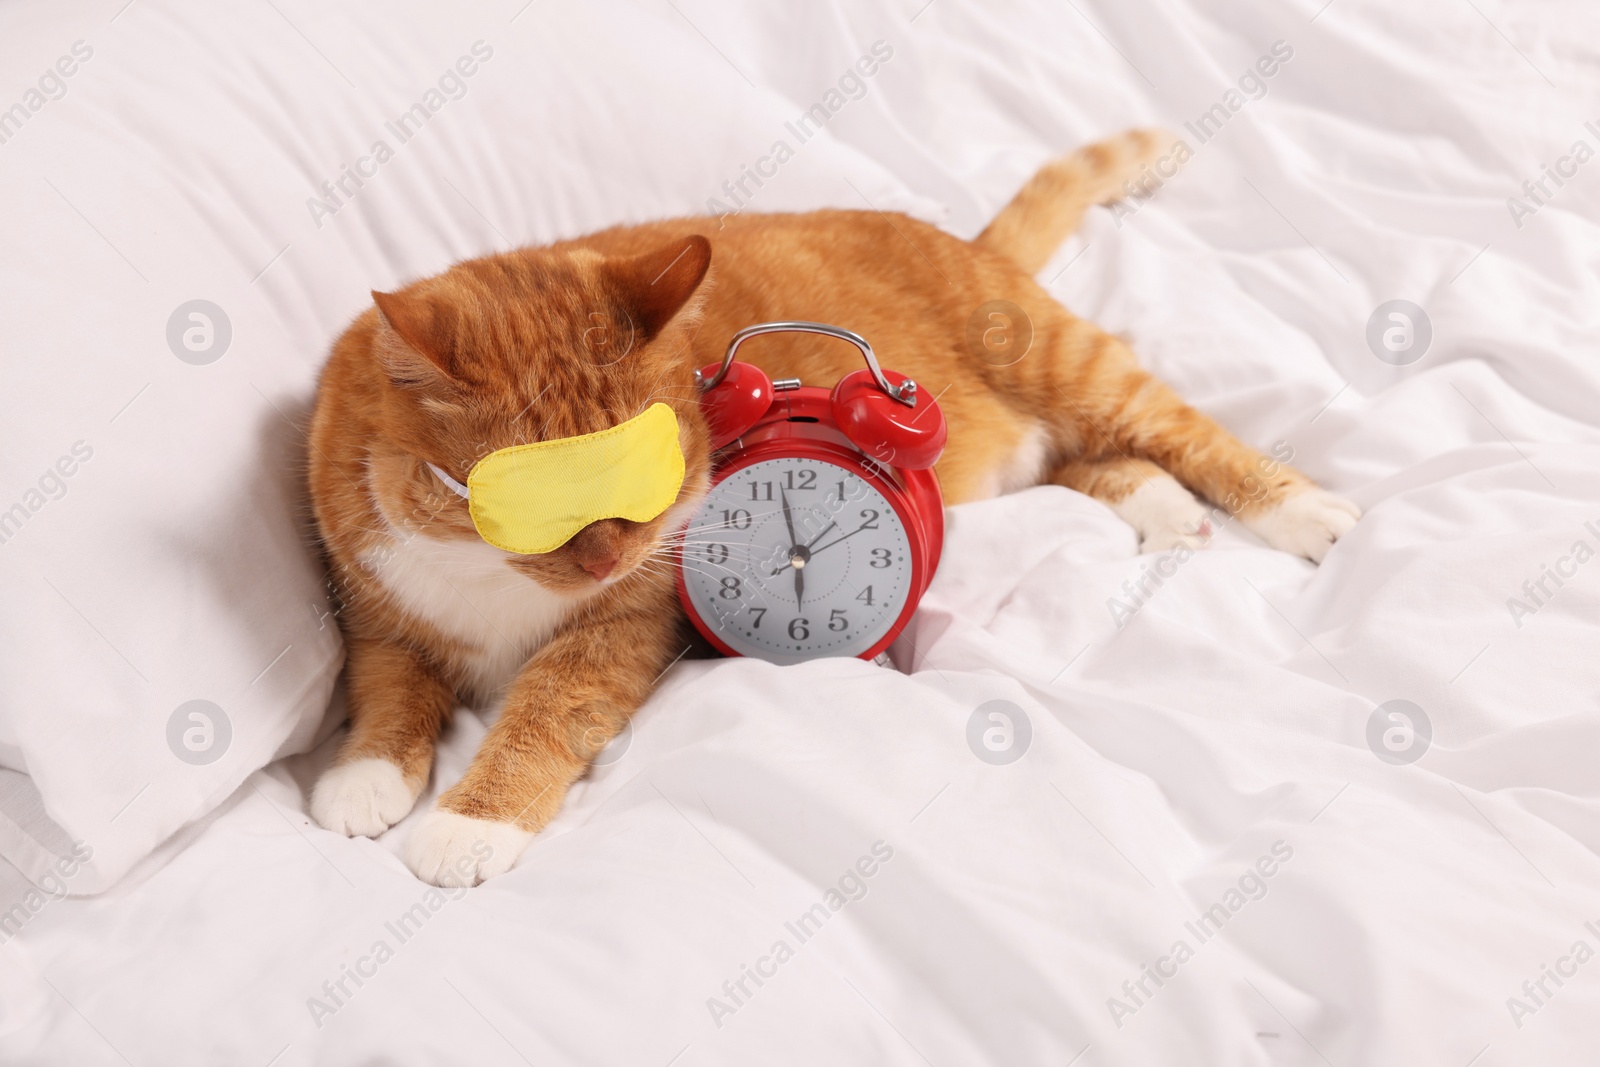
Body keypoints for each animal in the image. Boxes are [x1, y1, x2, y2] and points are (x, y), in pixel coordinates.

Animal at [305, 131, 1356, 883]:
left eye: (651, 478)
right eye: (529, 501)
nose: (606, 557)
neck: (489, 584)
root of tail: (959, 238)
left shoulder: (625, 622)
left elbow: (545, 710)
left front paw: (466, 825)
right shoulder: (373, 602)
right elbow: (389, 685)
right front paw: (363, 774)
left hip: (1073, 369)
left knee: (1182, 432)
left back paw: (1312, 517)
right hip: (1042, 443)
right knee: (1093, 464)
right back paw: (1168, 513)